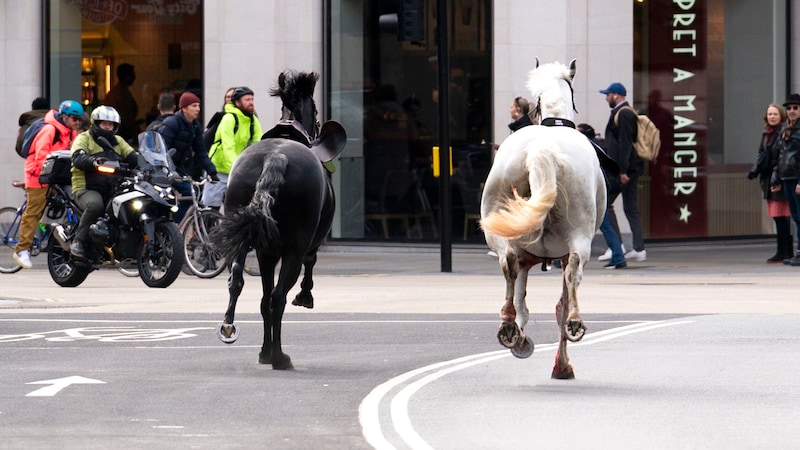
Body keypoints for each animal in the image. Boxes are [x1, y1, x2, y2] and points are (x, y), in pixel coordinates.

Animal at [212, 71, 346, 370]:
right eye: (315, 109)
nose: (317, 124)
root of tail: (277, 157)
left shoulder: (266, 254)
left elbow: (261, 300)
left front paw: (263, 351)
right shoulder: (303, 246)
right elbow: (309, 265)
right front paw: (305, 296)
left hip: (243, 240)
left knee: (239, 283)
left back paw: (233, 328)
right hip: (293, 249)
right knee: (278, 298)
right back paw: (279, 356)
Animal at [482, 58, 608, 378]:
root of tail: (542, 149)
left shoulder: (526, 257)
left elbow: (521, 298)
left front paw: (520, 337)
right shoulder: (557, 255)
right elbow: (558, 303)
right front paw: (561, 364)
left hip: (499, 230)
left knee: (507, 264)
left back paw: (508, 327)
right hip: (579, 236)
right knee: (573, 273)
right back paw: (574, 322)